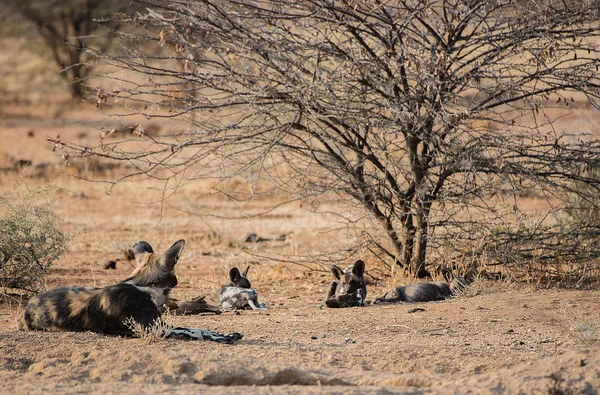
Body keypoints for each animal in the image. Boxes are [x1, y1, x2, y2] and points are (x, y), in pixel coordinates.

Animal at [19, 240, 244, 344]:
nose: (177, 281)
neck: (144, 285)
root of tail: (28, 306)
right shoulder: (154, 329)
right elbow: (195, 331)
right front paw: (224, 338)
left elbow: (201, 328)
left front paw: (226, 334)